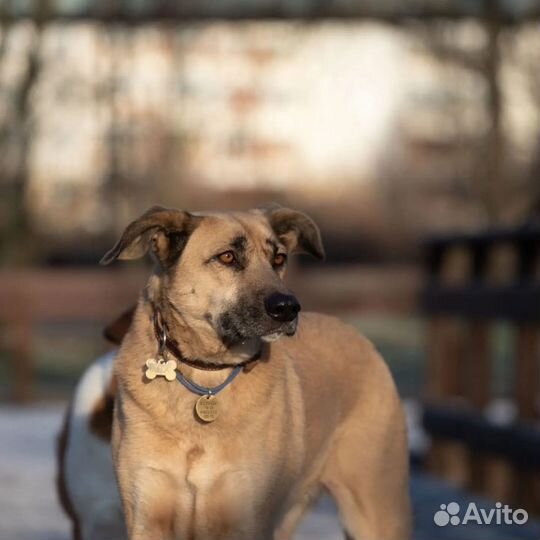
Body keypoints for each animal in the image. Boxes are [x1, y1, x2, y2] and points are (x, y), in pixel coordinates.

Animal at [58, 205, 410, 536]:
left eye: (279, 258)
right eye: (227, 257)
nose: (288, 308)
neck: (205, 377)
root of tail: (356, 333)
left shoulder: (245, 515)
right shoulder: (147, 514)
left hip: (375, 506)